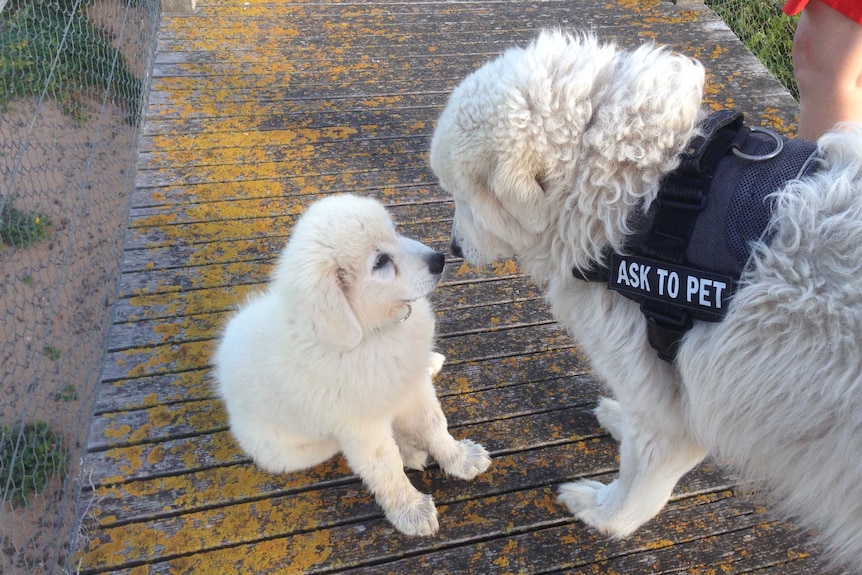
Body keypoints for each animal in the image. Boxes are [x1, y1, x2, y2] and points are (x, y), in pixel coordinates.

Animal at [213, 196, 492, 536]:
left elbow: (434, 426)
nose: (439, 259)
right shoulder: (360, 427)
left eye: (393, 231)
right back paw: (410, 451)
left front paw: (460, 459)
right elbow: (385, 467)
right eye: (380, 262)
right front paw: (411, 510)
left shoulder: (413, 386)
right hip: (298, 450)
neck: (373, 333)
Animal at [430, 31, 862, 572]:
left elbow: (637, 491)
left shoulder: (667, 409)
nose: (453, 249)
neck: (645, 190)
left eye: (465, 198)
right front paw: (617, 417)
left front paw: (599, 512)